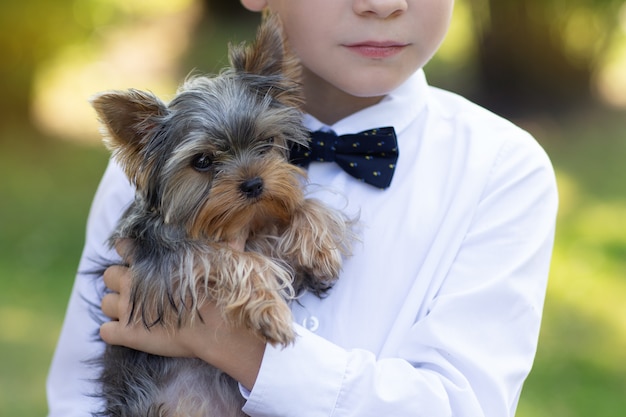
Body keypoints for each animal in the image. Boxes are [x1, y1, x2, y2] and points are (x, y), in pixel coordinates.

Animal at [89, 13, 352, 416]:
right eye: (202, 161)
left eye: (267, 142)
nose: (254, 184)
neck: (235, 223)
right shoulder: (165, 261)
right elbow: (234, 259)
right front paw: (271, 312)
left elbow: (301, 206)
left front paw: (320, 250)